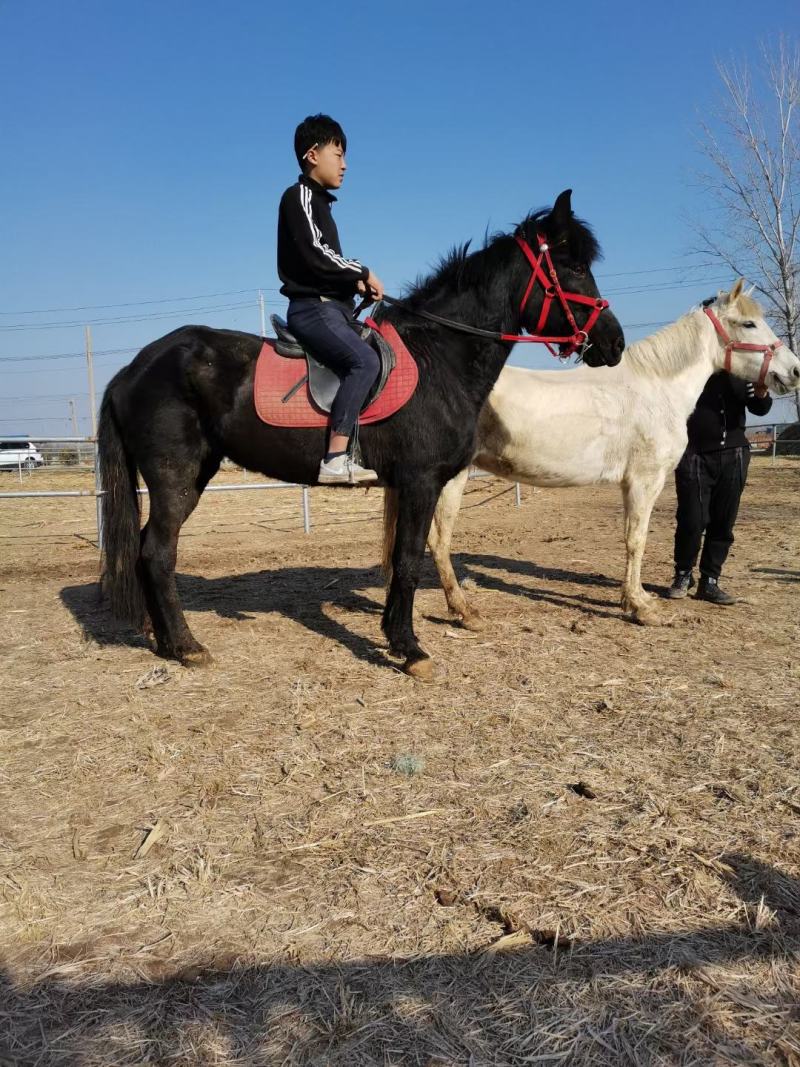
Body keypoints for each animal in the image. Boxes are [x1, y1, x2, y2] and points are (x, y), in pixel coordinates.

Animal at [98, 190, 624, 680]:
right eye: (574, 266)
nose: (614, 343)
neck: (439, 358)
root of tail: (134, 368)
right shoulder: (419, 481)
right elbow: (408, 559)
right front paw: (410, 650)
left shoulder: (407, 485)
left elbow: (398, 558)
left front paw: (397, 636)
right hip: (175, 477)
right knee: (158, 553)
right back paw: (187, 646)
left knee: (148, 551)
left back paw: (166, 642)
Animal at [386, 281, 800, 629]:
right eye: (748, 323)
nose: (793, 370)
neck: (656, 387)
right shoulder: (644, 481)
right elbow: (637, 540)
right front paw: (640, 607)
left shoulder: (631, 484)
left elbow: (633, 538)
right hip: (448, 478)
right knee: (438, 541)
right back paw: (464, 612)